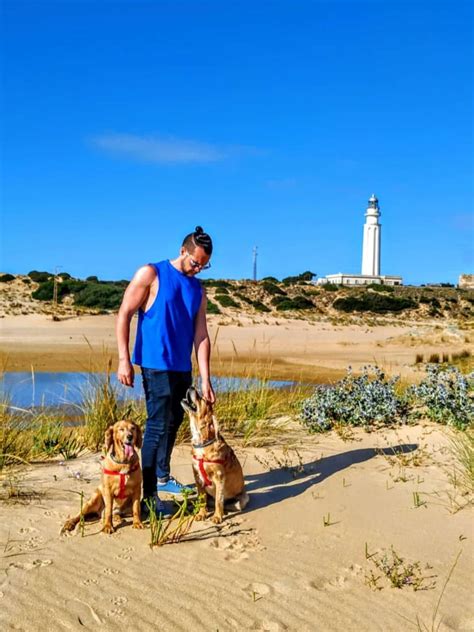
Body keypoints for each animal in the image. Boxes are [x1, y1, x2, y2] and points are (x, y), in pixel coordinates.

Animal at [181, 386, 248, 524]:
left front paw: (217, 517)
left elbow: (218, 500)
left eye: (202, 399)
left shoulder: (219, 478)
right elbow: (202, 499)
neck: (202, 442)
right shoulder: (198, 478)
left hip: (242, 499)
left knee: (225, 504)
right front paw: (201, 514)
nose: (191, 386)